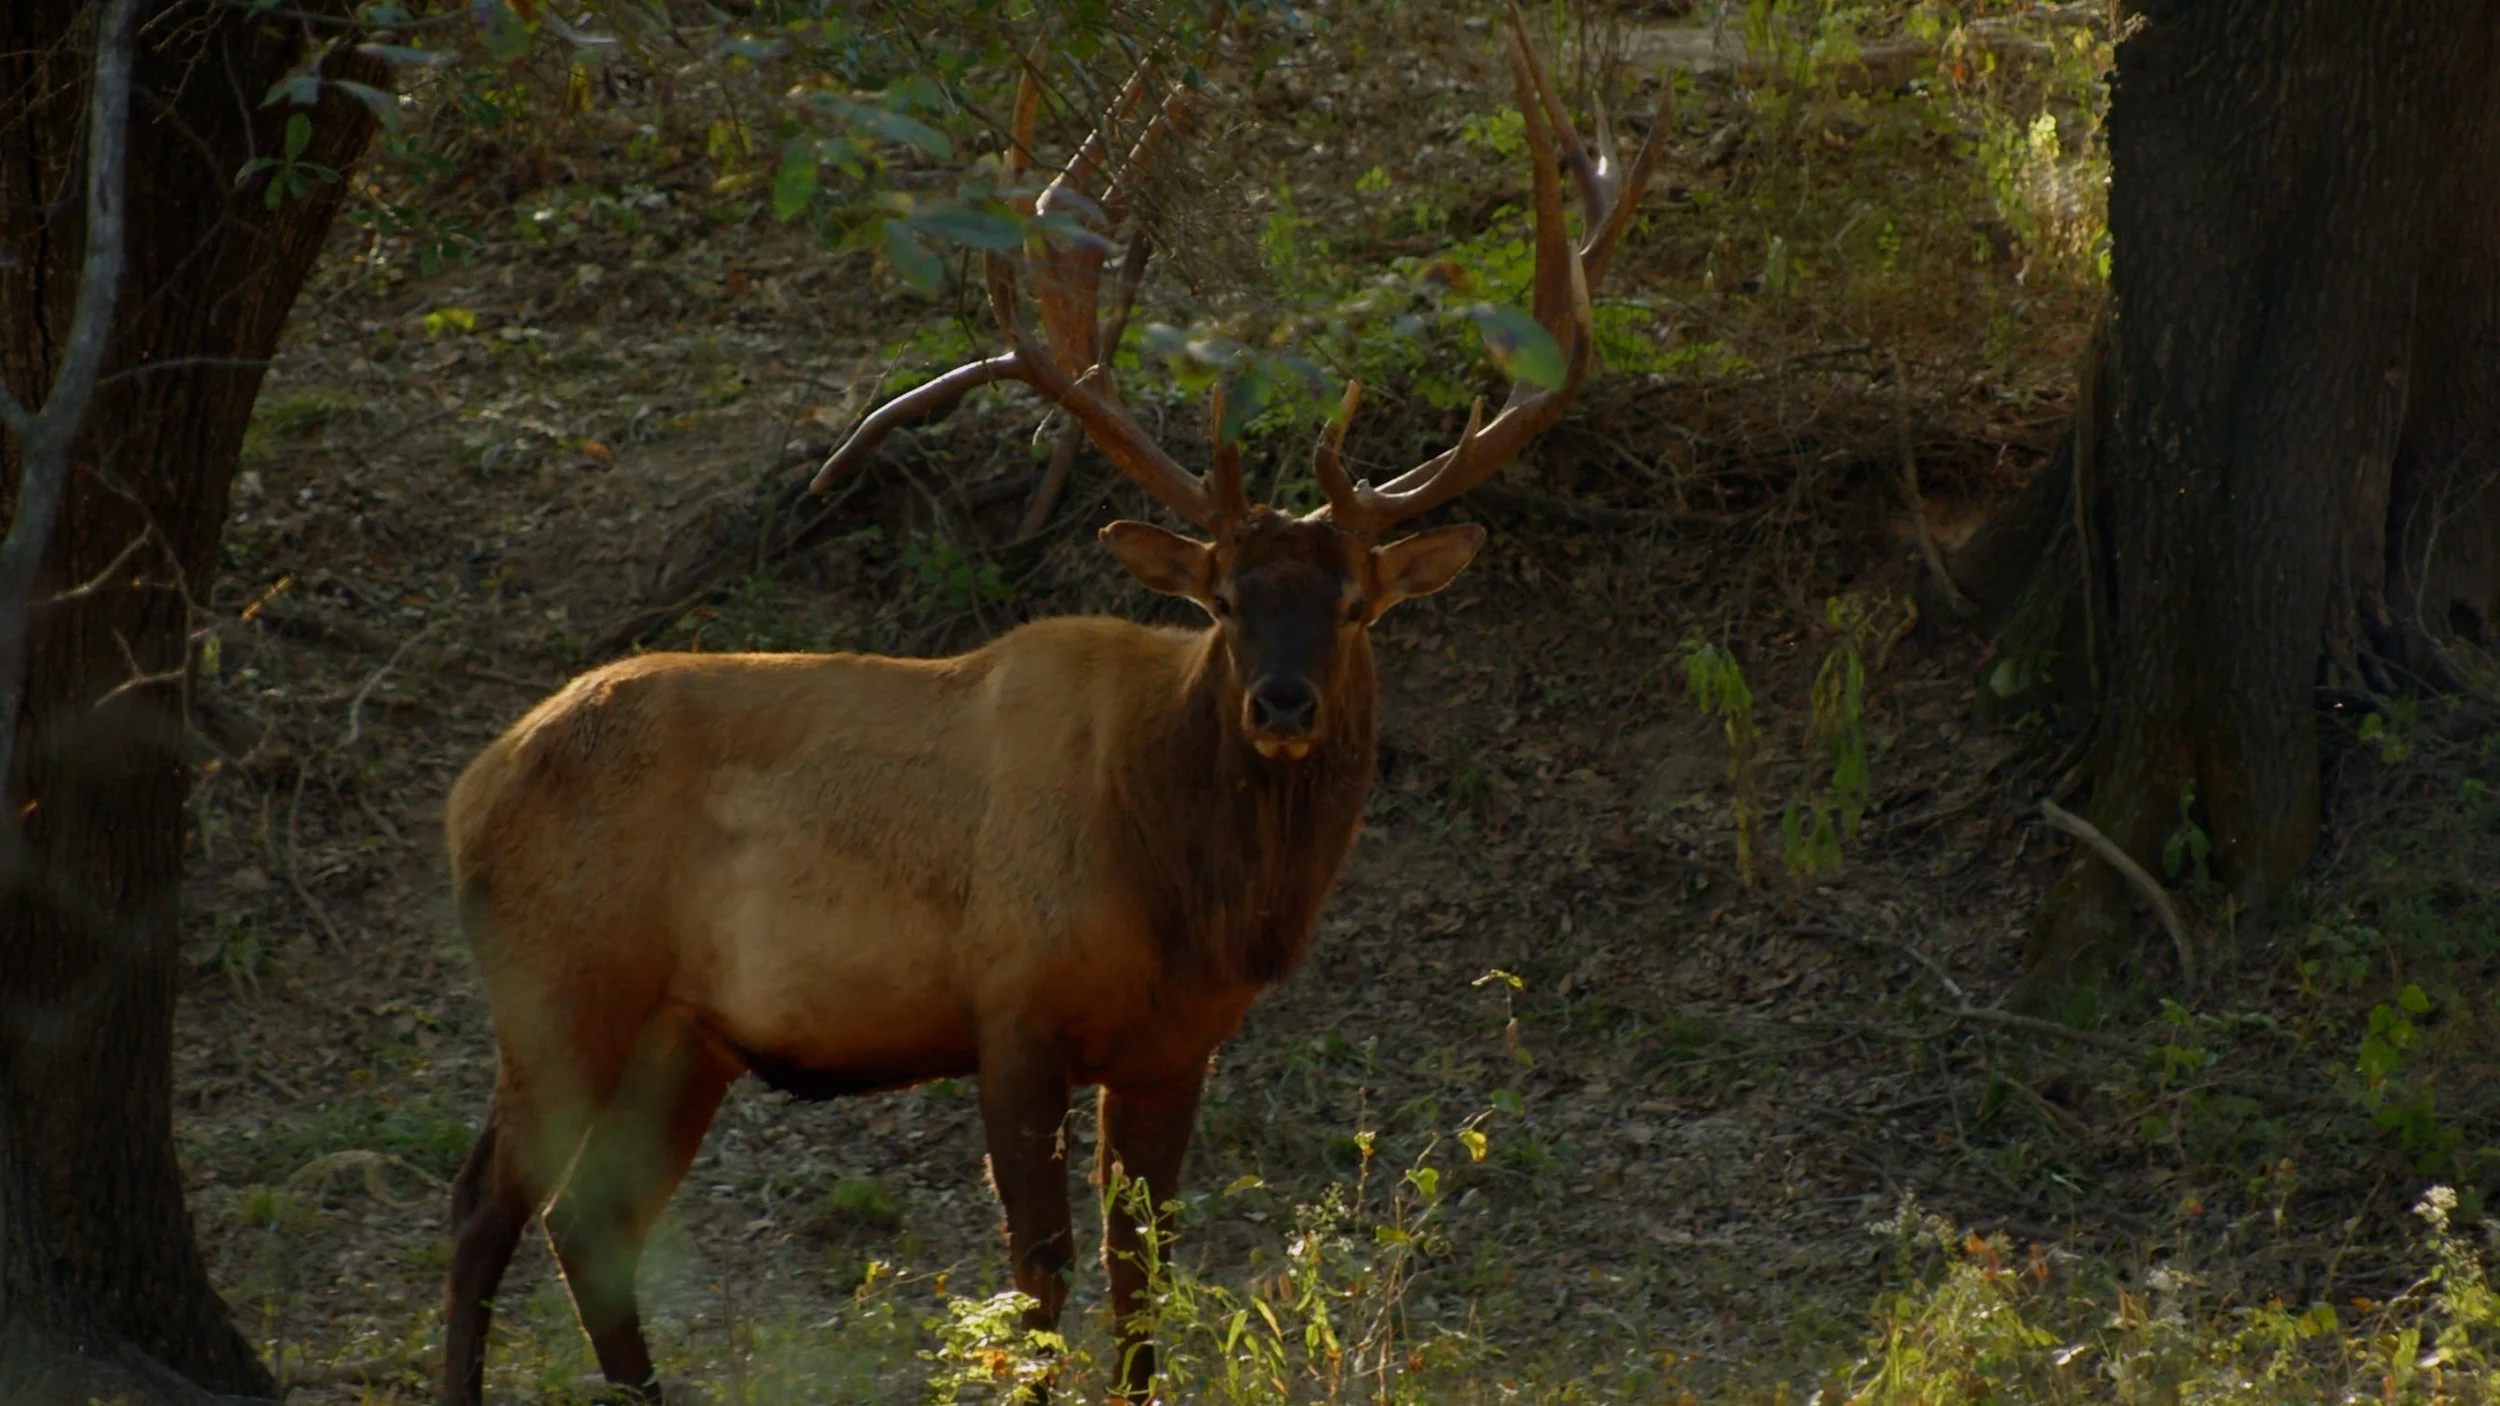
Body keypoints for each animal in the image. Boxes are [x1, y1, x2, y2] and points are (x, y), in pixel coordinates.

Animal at [437, 8, 1667, 1403]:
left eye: (1355, 604)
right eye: (1223, 600)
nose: (1283, 699)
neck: (1186, 892)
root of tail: (469, 791)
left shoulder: (1175, 1045)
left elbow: (1145, 1280)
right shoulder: (1009, 1005)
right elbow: (1036, 1279)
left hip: (683, 1034)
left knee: (591, 1218)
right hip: (558, 981)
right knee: (485, 1204)